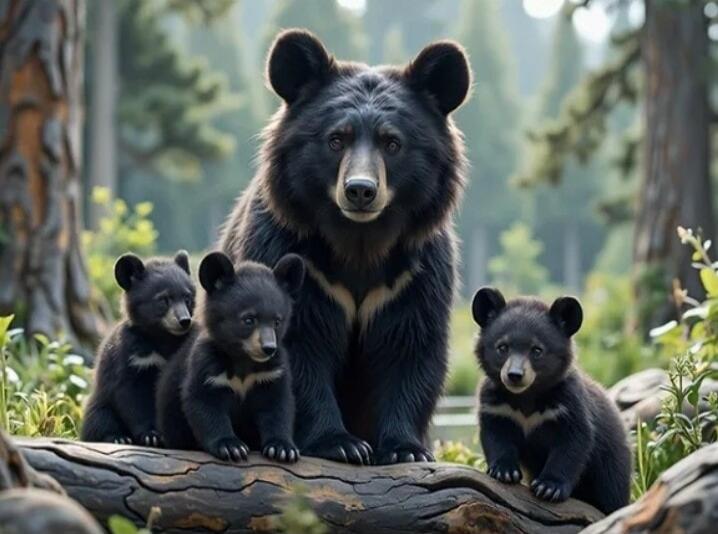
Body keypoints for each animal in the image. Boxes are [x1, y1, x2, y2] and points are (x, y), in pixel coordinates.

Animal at [81, 251, 195, 446]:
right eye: (163, 299)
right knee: (99, 419)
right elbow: (131, 397)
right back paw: (118, 438)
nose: (184, 321)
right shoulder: (131, 357)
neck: (161, 337)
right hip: (100, 401)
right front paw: (152, 435)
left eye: (187, 298)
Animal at [156, 251, 305, 463]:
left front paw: (283, 449)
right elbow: (204, 404)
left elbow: (278, 406)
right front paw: (231, 447)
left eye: (277, 321)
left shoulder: (273, 372)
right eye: (249, 319)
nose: (268, 348)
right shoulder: (207, 366)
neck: (243, 359)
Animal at [218, 29, 471, 465]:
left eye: (392, 143)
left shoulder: (414, 273)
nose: (360, 190)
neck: (359, 242)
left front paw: (406, 449)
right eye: (336, 139)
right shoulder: (289, 252)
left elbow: (410, 348)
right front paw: (342, 444)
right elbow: (296, 347)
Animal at [471, 287, 631, 514]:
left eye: (537, 350)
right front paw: (504, 472)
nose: (514, 376)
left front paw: (548, 488)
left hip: (612, 465)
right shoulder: (496, 406)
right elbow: (495, 435)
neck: (527, 396)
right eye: (502, 347)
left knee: (612, 495)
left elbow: (573, 443)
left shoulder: (568, 405)